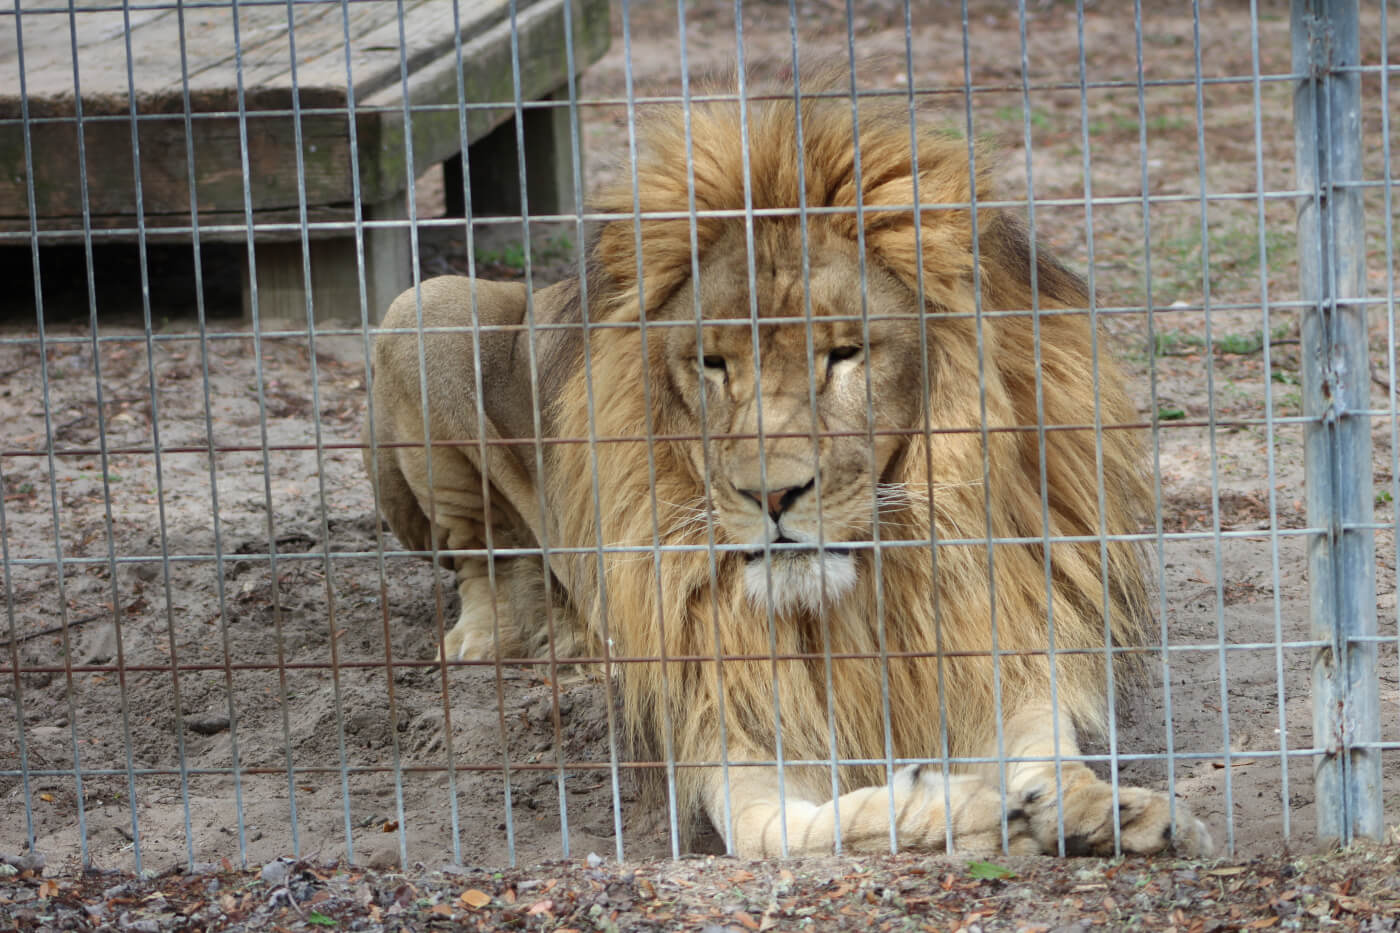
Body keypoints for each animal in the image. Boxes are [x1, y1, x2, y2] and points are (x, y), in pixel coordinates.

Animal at [364, 87, 1215, 857]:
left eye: (842, 353)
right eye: (713, 363)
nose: (771, 494)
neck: (849, 605)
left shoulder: (996, 649)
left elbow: (1051, 750)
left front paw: (1104, 807)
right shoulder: (726, 726)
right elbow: (790, 832)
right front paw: (956, 806)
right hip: (424, 309)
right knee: (484, 556)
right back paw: (512, 639)